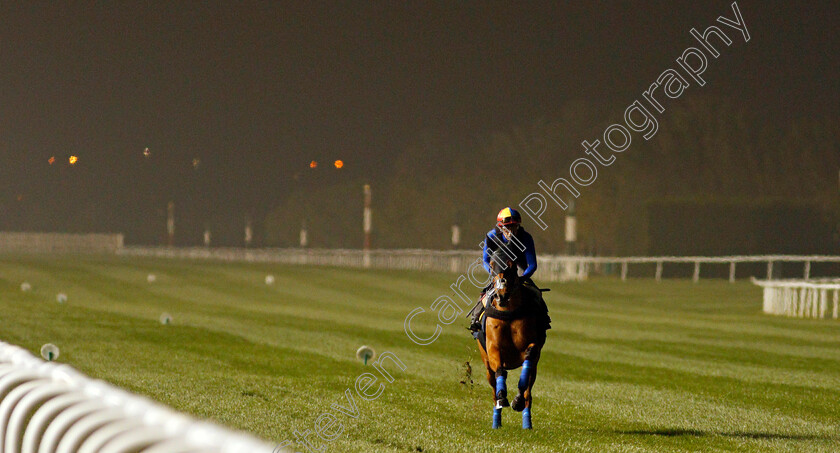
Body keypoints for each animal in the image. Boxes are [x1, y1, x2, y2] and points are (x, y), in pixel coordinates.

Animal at [476, 247, 548, 428]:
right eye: (492, 264)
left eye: (512, 264)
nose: (501, 295)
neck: (508, 311)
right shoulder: (493, 347)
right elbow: (500, 371)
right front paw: (503, 397)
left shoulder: (531, 346)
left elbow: (528, 361)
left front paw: (517, 400)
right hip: (486, 364)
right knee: (493, 387)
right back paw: (497, 420)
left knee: (529, 392)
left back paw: (527, 422)